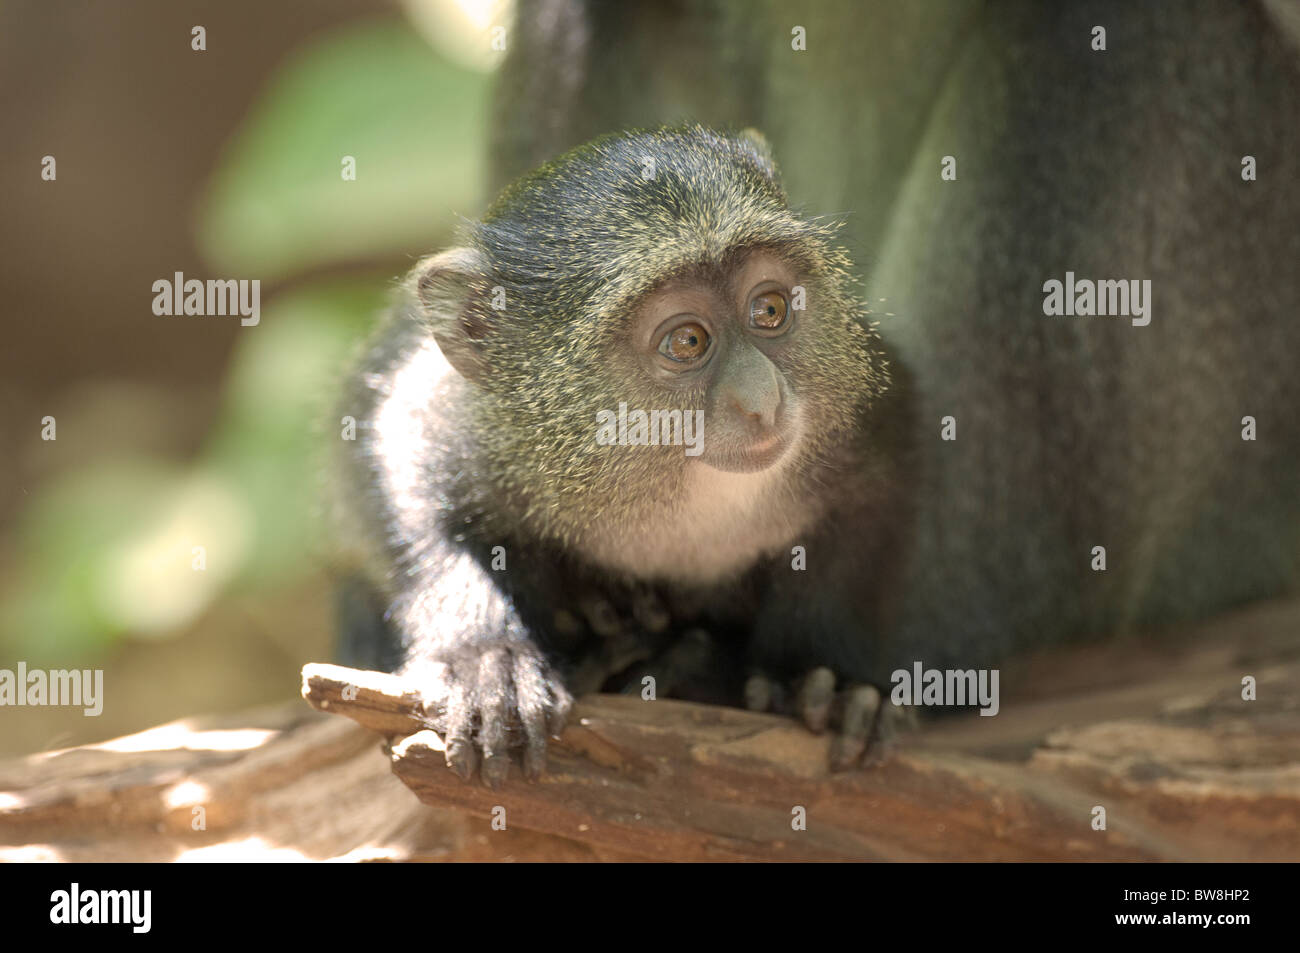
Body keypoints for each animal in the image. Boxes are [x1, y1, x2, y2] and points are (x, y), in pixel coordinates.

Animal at [330, 124, 909, 790]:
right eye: (687, 341)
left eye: (769, 310)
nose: (763, 401)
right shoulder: (453, 419)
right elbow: (398, 451)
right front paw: (485, 658)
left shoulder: (864, 416)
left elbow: (871, 499)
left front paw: (826, 684)